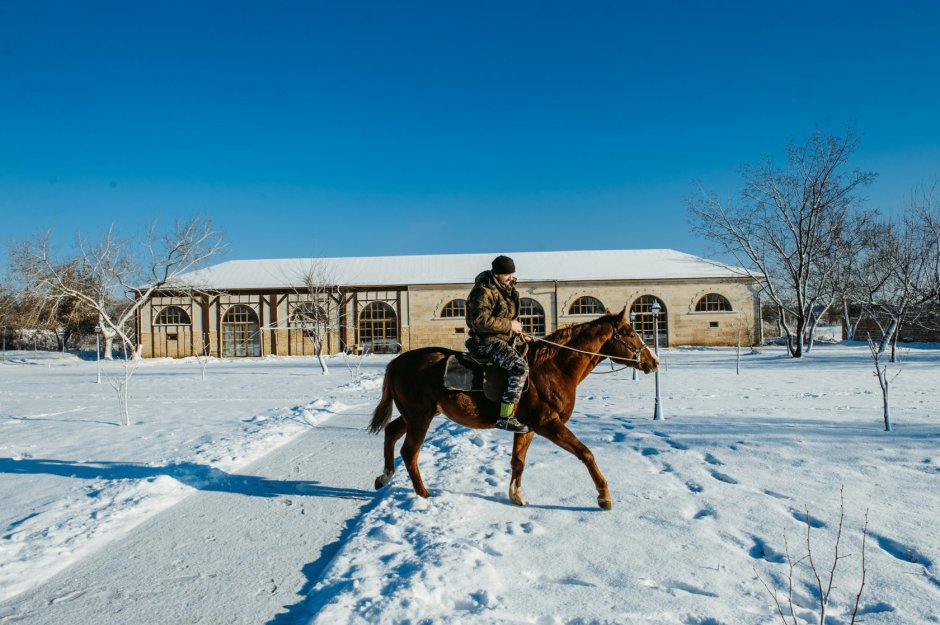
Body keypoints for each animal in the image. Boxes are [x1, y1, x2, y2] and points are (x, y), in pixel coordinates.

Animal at [368, 306, 660, 508]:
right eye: (631, 333)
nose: (653, 361)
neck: (554, 368)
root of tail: (397, 362)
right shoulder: (549, 424)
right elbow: (586, 453)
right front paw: (604, 495)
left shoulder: (527, 428)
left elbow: (518, 461)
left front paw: (516, 495)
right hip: (421, 416)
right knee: (409, 452)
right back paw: (423, 494)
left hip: (414, 414)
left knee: (391, 432)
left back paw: (384, 476)